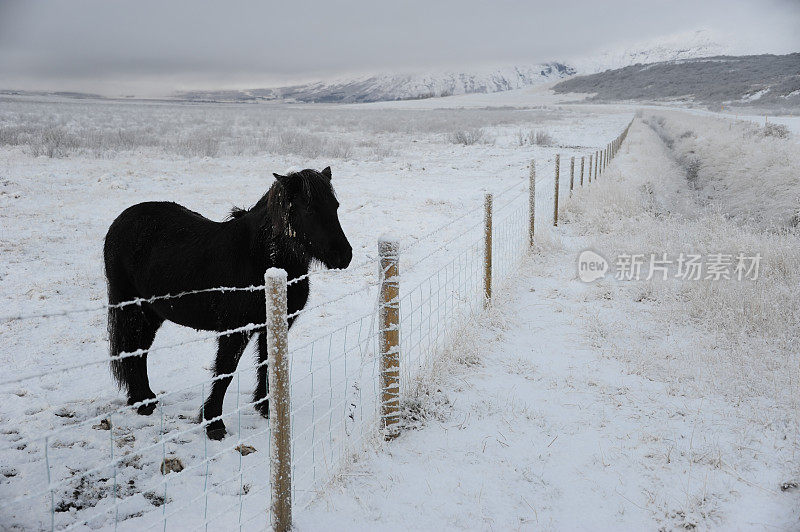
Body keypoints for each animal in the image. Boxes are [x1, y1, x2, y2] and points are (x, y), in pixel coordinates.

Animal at [103, 168, 350, 438]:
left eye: (335, 206)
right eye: (309, 210)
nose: (344, 256)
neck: (260, 258)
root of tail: (121, 221)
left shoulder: (271, 326)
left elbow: (267, 364)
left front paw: (267, 410)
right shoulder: (234, 331)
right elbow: (225, 371)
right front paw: (213, 424)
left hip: (152, 313)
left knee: (139, 351)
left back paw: (144, 399)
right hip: (131, 308)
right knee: (132, 349)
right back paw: (143, 403)